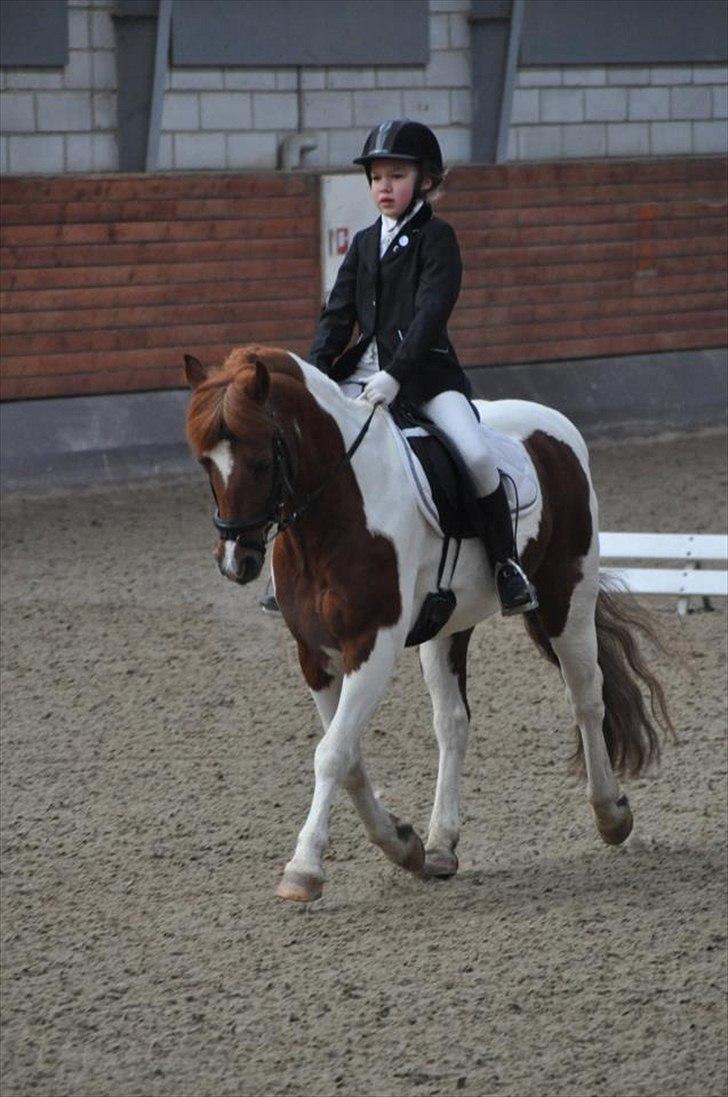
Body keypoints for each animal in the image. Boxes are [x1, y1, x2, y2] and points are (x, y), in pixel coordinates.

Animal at [184, 344, 672, 903]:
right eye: (205, 463)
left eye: (264, 459)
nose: (236, 562)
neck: (337, 511)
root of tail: (557, 425)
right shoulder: (315, 653)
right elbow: (349, 755)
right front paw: (402, 843)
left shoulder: (372, 643)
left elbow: (332, 753)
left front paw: (303, 869)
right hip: (448, 625)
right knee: (453, 722)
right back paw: (441, 845)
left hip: (565, 595)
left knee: (587, 698)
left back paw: (611, 814)